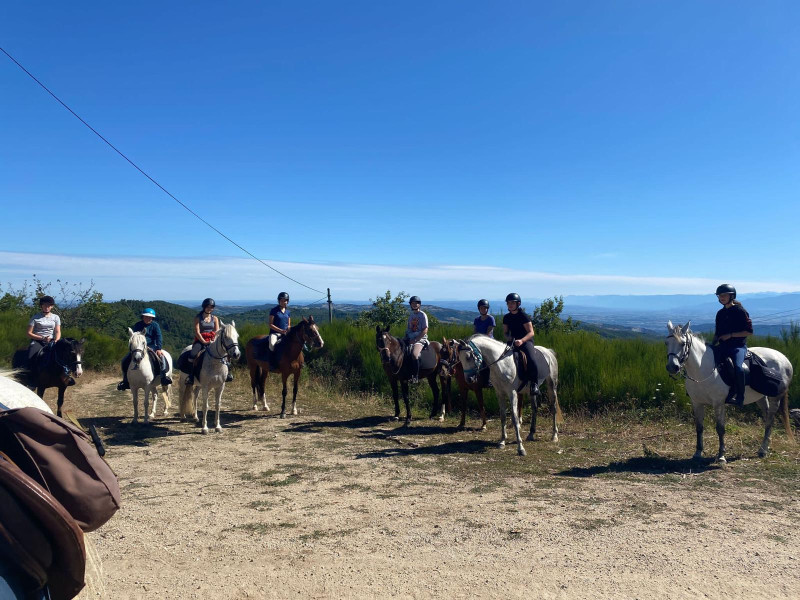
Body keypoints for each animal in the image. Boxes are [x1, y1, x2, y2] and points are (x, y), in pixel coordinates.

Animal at [664, 322, 792, 462]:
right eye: (666, 343)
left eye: (682, 344)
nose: (672, 367)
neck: (703, 368)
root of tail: (784, 359)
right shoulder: (697, 403)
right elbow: (699, 427)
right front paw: (697, 453)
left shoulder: (718, 403)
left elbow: (720, 428)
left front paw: (721, 456)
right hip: (760, 397)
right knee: (767, 417)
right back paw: (764, 448)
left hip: (776, 397)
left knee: (770, 420)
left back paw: (763, 450)